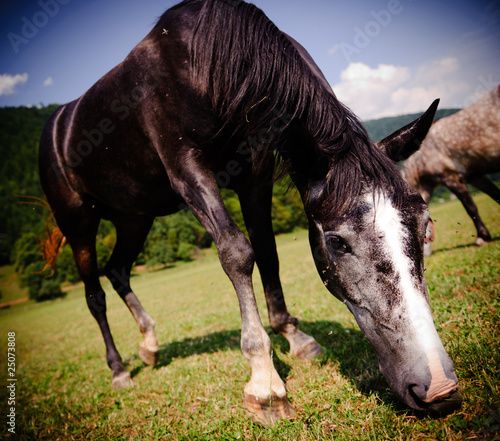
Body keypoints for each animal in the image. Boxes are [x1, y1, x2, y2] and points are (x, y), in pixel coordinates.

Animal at [39, 0, 460, 426]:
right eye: (338, 242)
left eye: (425, 226)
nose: (439, 388)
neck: (205, 61)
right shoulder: (187, 170)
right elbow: (237, 252)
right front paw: (265, 382)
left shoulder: (254, 174)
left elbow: (268, 253)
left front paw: (294, 337)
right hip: (78, 223)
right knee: (95, 294)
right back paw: (119, 370)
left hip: (133, 217)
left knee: (118, 271)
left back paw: (150, 345)